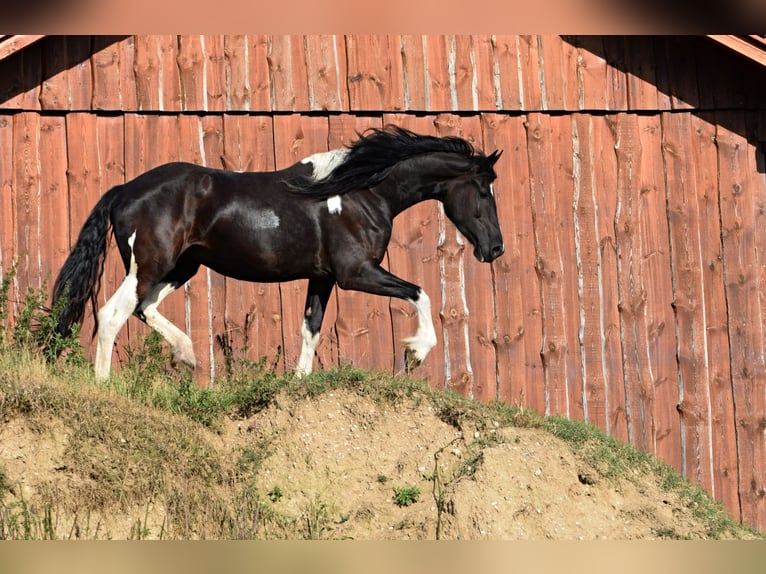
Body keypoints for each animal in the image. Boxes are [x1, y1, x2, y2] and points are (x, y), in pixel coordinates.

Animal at [51, 125, 508, 382]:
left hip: (182, 266)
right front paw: (416, 352)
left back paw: (187, 355)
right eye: (484, 191)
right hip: (151, 264)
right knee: (112, 314)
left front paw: (300, 382)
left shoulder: (323, 277)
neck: (361, 192)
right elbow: (420, 292)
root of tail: (123, 190)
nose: (495, 248)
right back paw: (104, 385)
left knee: (143, 308)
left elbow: (311, 328)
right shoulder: (356, 272)